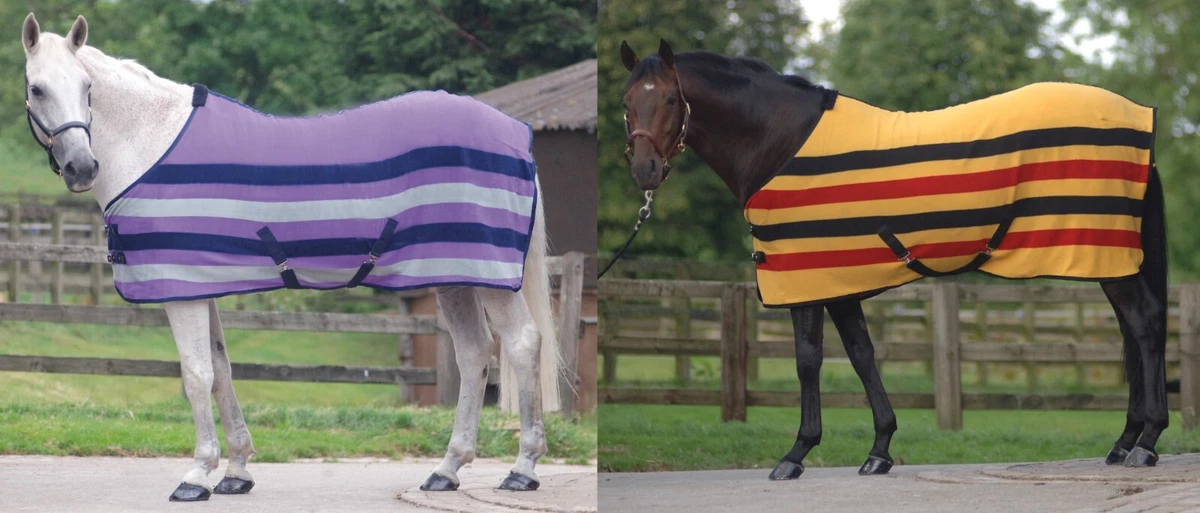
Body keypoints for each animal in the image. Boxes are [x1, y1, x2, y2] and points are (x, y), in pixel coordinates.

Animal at [21, 13, 562, 500]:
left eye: (87, 86)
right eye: (37, 89)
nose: (82, 167)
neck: (152, 143)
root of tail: (517, 133)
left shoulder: (182, 292)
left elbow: (196, 376)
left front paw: (197, 475)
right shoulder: (203, 285)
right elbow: (221, 371)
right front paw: (236, 471)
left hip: (488, 276)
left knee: (521, 344)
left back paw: (522, 469)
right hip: (455, 276)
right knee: (474, 353)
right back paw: (447, 470)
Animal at [617, 39, 1169, 480]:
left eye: (671, 98)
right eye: (626, 102)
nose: (644, 171)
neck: (780, 143)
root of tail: (1140, 120)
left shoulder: (804, 279)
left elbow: (807, 361)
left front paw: (795, 455)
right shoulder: (837, 284)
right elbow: (862, 355)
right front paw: (879, 449)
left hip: (1105, 256)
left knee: (1144, 327)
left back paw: (1146, 443)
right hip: (1113, 258)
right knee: (1132, 334)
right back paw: (1123, 442)